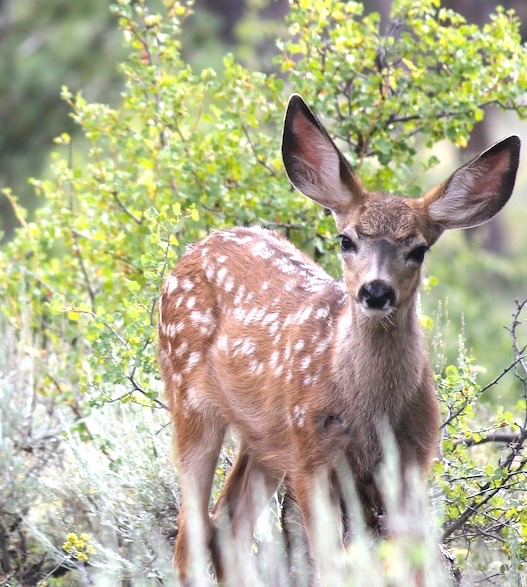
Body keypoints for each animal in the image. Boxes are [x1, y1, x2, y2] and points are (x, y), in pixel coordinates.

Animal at [159, 94, 520, 580]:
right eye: (346, 240)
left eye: (418, 249)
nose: (376, 291)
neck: (369, 408)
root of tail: (195, 248)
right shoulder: (312, 452)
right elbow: (332, 565)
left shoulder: (411, 460)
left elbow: (415, 565)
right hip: (190, 400)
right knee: (189, 536)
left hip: (264, 439)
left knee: (226, 523)